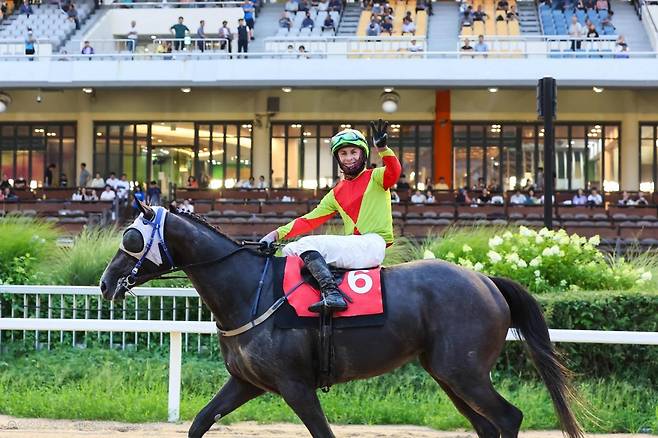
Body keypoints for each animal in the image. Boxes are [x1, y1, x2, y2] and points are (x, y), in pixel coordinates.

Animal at [100, 203, 580, 438]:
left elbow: (325, 434)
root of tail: (486, 280)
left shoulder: (295, 385)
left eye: (132, 237)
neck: (250, 289)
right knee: (487, 426)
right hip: (449, 374)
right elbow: (200, 422)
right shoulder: (247, 382)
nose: (105, 283)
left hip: (463, 372)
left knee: (508, 419)